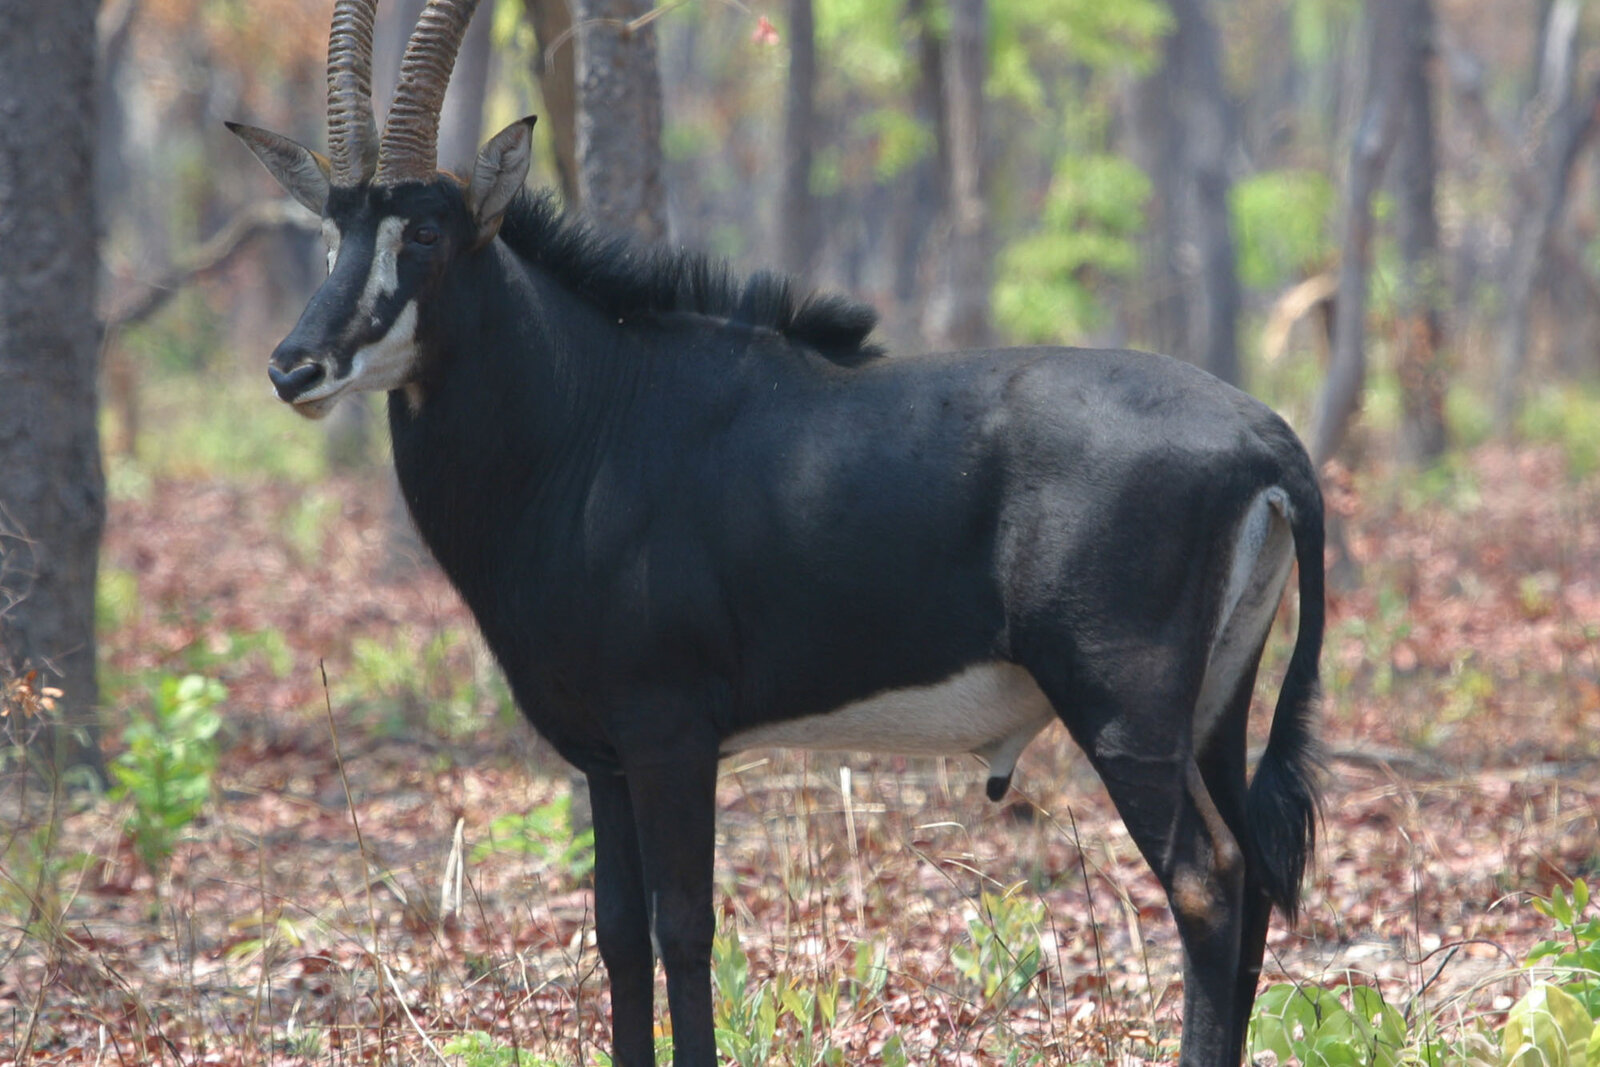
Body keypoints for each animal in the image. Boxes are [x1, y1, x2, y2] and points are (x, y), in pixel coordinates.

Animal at [229, 1, 1325, 1062]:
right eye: (332, 231)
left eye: (424, 234)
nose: (293, 366)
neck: (589, 414)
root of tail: (1267, 436)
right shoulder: (604, 755)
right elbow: (617, 932)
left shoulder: (671, 732)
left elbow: (683, 926)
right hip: (1213, 711)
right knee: (1255, 880)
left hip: (1123, 713)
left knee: (1208, 881)